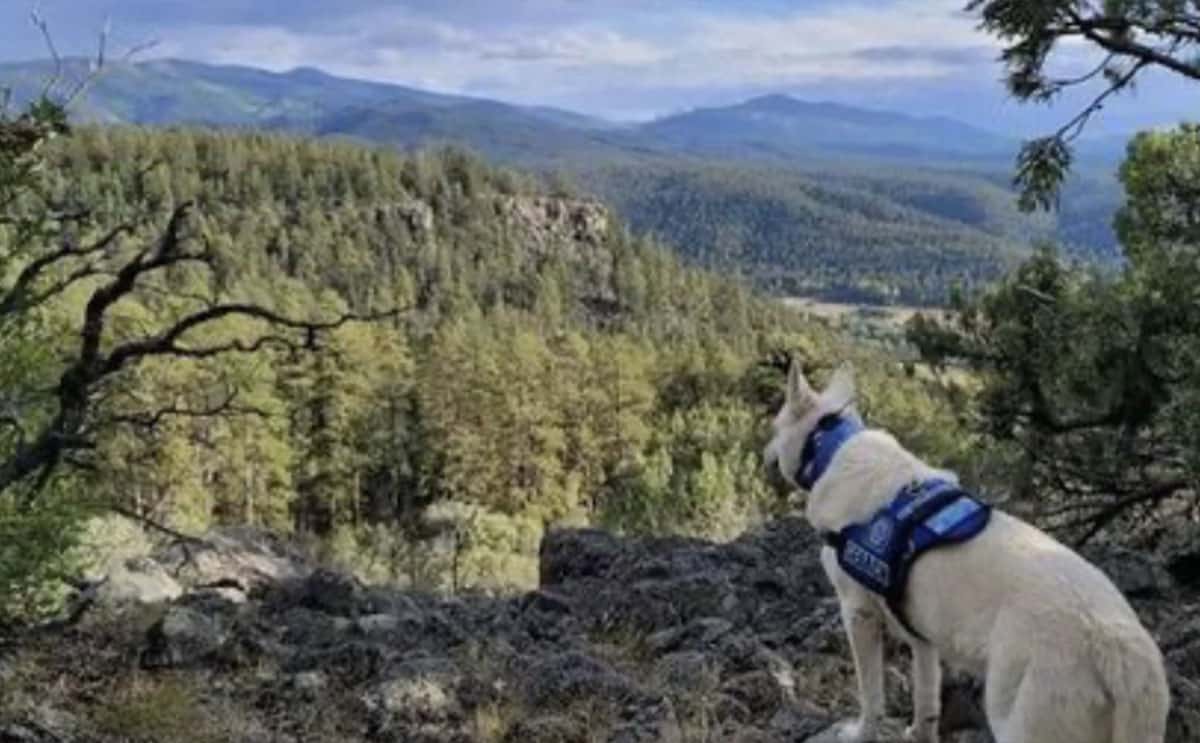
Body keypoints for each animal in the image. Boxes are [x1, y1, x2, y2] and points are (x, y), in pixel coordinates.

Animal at [763, 362, 1166, 743]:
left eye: (775, 425)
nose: (764, 452)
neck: (832, 446)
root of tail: (1119, 650)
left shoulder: (858, 615)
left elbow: (871, 696)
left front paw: (861, 733)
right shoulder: (922, 637)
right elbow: (926, 702)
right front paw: (919, 734)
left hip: (1026, 722)